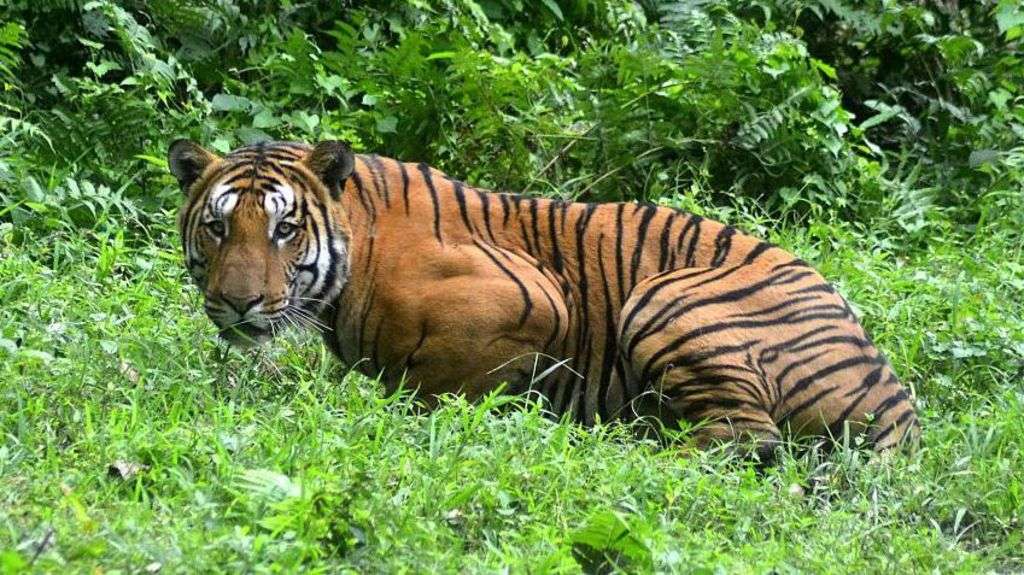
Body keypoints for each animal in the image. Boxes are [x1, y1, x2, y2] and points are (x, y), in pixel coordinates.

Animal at [167, 139, 920, 459]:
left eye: (285, 229)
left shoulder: (534, 298)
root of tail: (896, 398)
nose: (237, 303)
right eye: (218, 226)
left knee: (744, 439)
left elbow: (438, 384)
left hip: (665, 296)